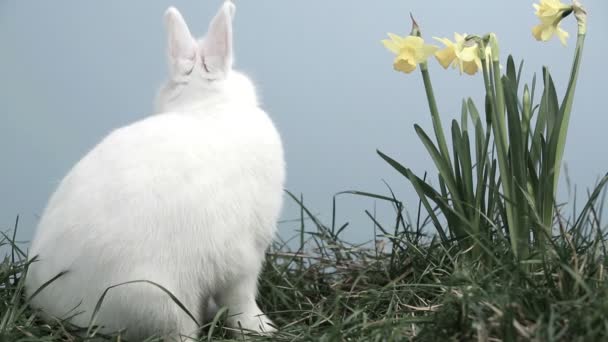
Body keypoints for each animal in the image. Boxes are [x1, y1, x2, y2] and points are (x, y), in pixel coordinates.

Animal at [25, 0, 286, 340]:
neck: (206, 107)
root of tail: (59, 311)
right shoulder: (246, 254)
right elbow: (241, 299)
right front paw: (261, 328)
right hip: (162, 300)